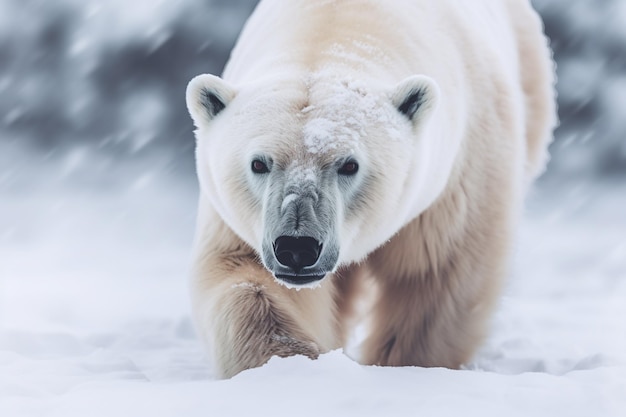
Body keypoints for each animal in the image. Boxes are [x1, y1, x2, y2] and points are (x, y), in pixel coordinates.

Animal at [183, 0, 552, 376]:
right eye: (259, 163)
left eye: (349, 164)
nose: (297, 247)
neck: (338, 30)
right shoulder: (241, 222)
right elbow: (246, 276)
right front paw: (292, 362)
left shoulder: (458, 175)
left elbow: (438, 278)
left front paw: (401, 365)